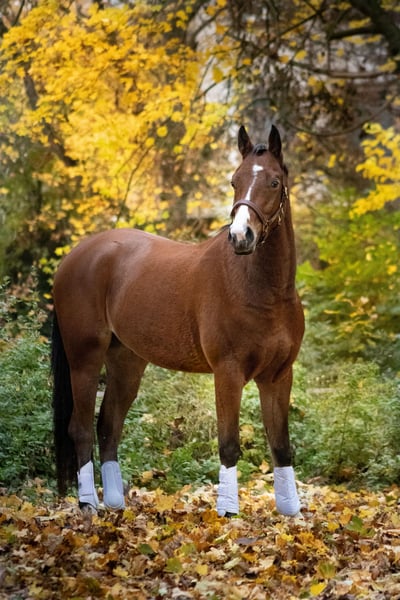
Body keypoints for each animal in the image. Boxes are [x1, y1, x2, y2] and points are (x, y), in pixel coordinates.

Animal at [52, 124, 304, 516]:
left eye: (274, 182)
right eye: (234, 181)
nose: (240, 237)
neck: (264, 291)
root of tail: (75, 256)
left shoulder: (278, 375)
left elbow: (281, 445)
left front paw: (291, 515)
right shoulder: (228, 372)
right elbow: (228, 443)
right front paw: (228, 513)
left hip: (126, 361)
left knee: (108, 426)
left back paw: (116, 504)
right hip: (84, 359)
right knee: (79, 427)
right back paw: (88, 505)